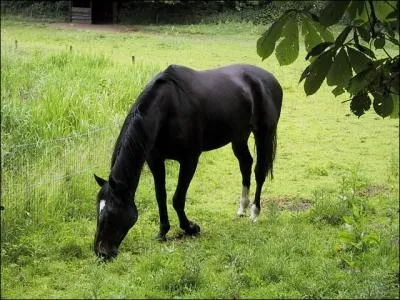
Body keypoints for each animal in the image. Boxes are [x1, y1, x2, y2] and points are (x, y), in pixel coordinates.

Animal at [94, 64, 282, 258]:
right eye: (97, 211)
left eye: (111, 213)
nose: (101, 252)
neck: (167, 108)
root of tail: (269, 78)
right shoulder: (155, 161)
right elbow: (160, 196)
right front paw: (162, 232)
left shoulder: (189, 160)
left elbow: (178, 198)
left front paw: (190, 228)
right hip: (239, 136)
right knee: (245, 164)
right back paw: (242, 208)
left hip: (264, 134)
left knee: (259, 172)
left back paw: (254, 212)